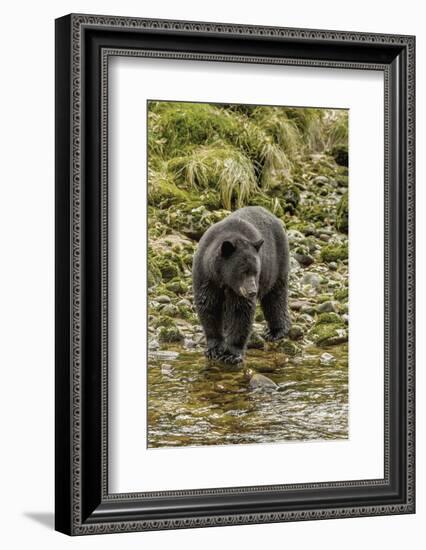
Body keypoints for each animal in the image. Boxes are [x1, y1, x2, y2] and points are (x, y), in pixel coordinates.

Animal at [192, 205, 290, 364]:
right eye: (243, 272)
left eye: (255, 271)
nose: (252, 291)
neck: (223, 278)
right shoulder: (206, 276)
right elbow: (208, 305)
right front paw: (214, 349)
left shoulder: (239, 289)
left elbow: (240, 310)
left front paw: (231, 354)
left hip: (277, 263)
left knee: (275, 296)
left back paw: (276, 331)